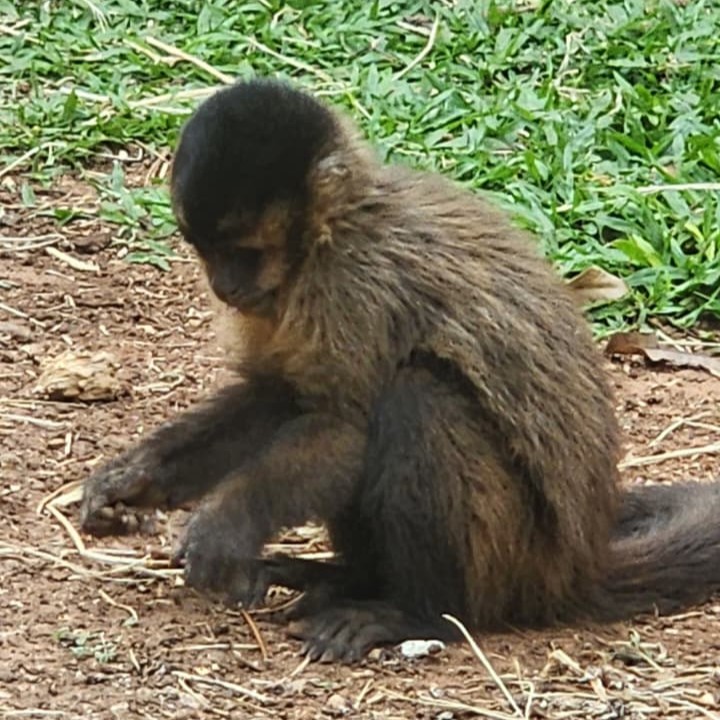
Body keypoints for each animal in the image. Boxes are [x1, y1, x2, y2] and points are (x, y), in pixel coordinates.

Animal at [80, 77, 720, 664]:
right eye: (208, 253)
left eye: (246, 253)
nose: (224, 286)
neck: (331, 232)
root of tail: (572, 568)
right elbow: (279, 400)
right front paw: (133, 480)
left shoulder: (351, 281)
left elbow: (342, 425)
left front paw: (227, 522)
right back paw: (346, 581)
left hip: (511, 556)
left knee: (418, 396)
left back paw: (419, 614)